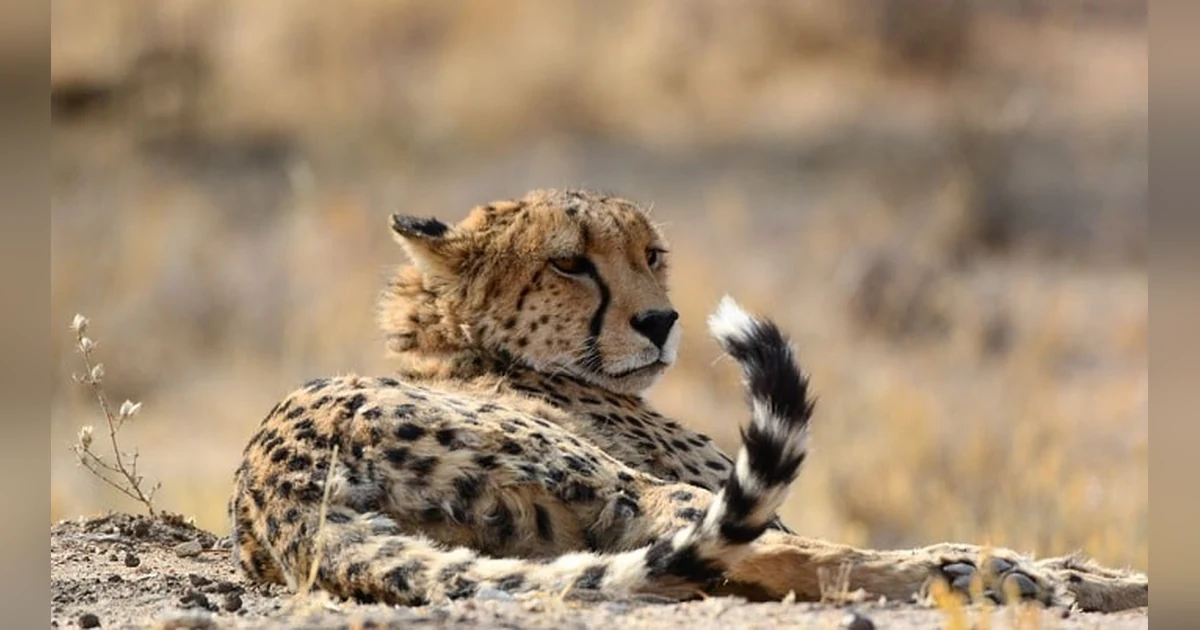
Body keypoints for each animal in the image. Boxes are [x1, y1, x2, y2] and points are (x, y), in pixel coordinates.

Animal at [229, 188, 1148, 613]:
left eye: (652, 253)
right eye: (570, 262)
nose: (662, 320)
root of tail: (278, 491)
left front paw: (1092, 569)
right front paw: (1069, 572)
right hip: (601, 474)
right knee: (742, 546)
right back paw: (984, 571)